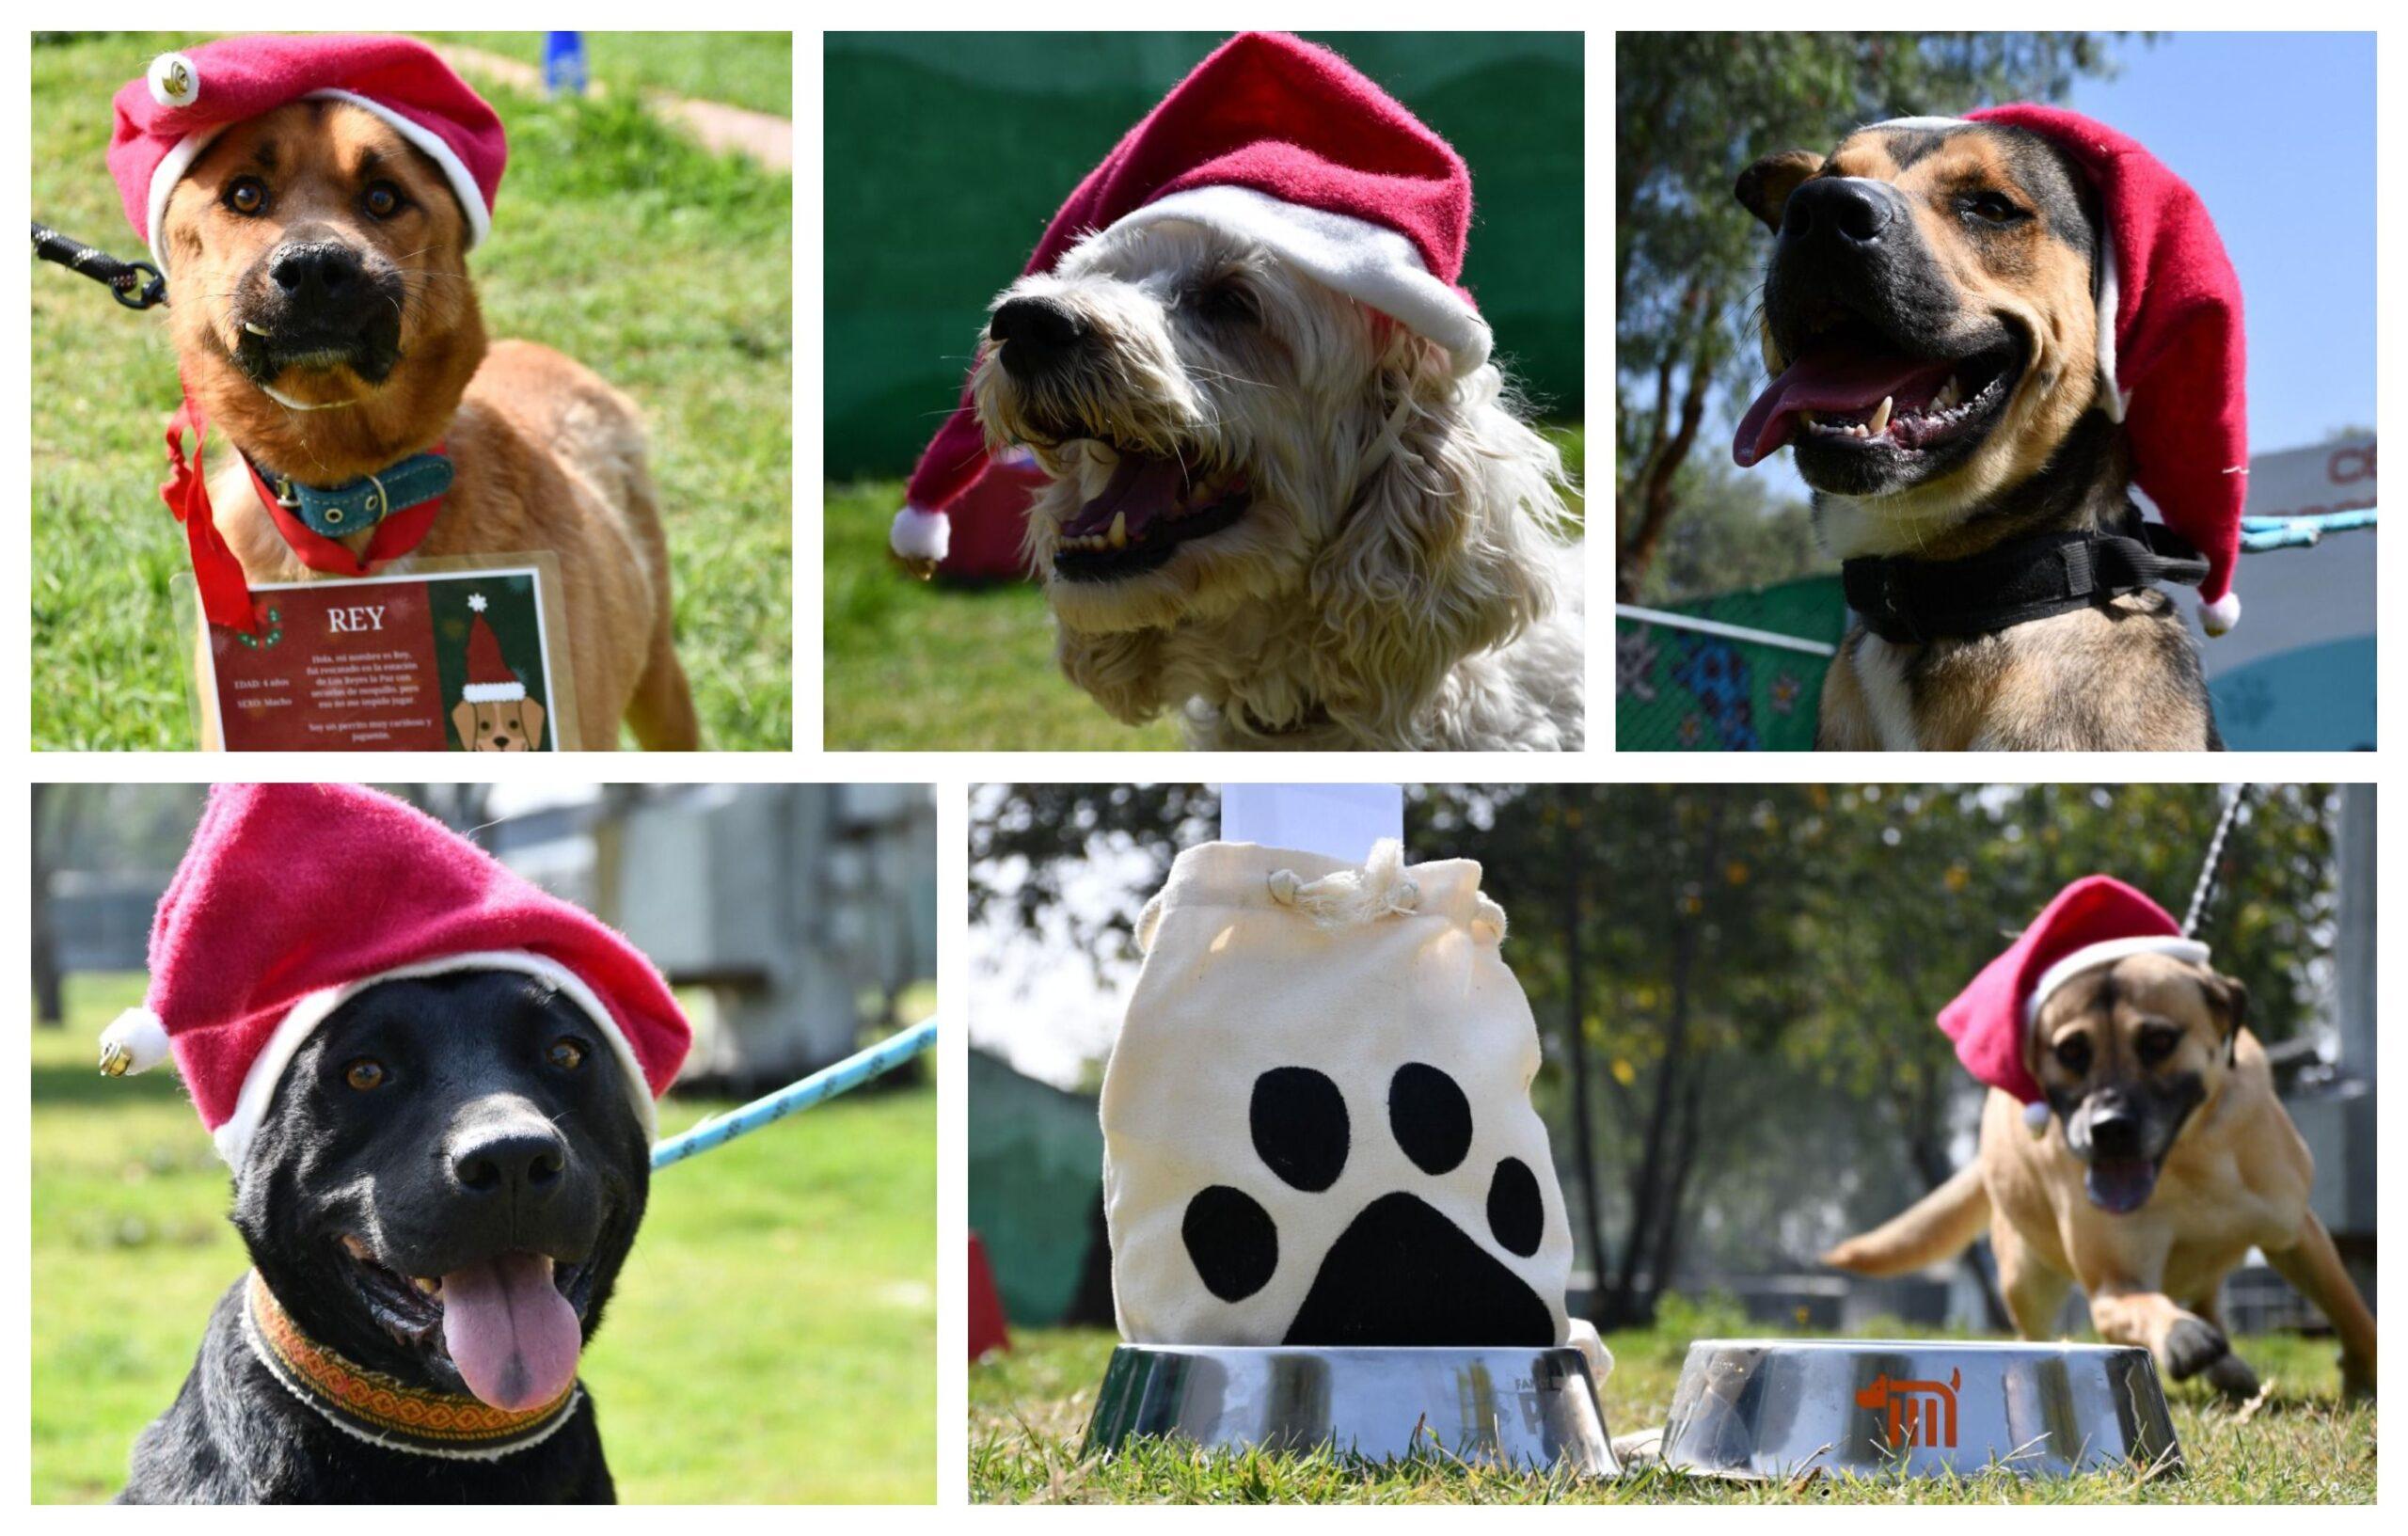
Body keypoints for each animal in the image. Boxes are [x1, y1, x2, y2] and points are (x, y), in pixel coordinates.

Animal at [1830, 943, 2379, 1405]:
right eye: (2071, 1051)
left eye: (2158, 1041)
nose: (2108, 1128)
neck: (2186, 1161)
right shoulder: (2113, 1283)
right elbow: (2146, 1304)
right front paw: (2181, 1335)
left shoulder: (2297, 1234)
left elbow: (2350, 1308)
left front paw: (2366, 1375)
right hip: (2024, 1278)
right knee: (2037, 1327)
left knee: (2210, 1298)